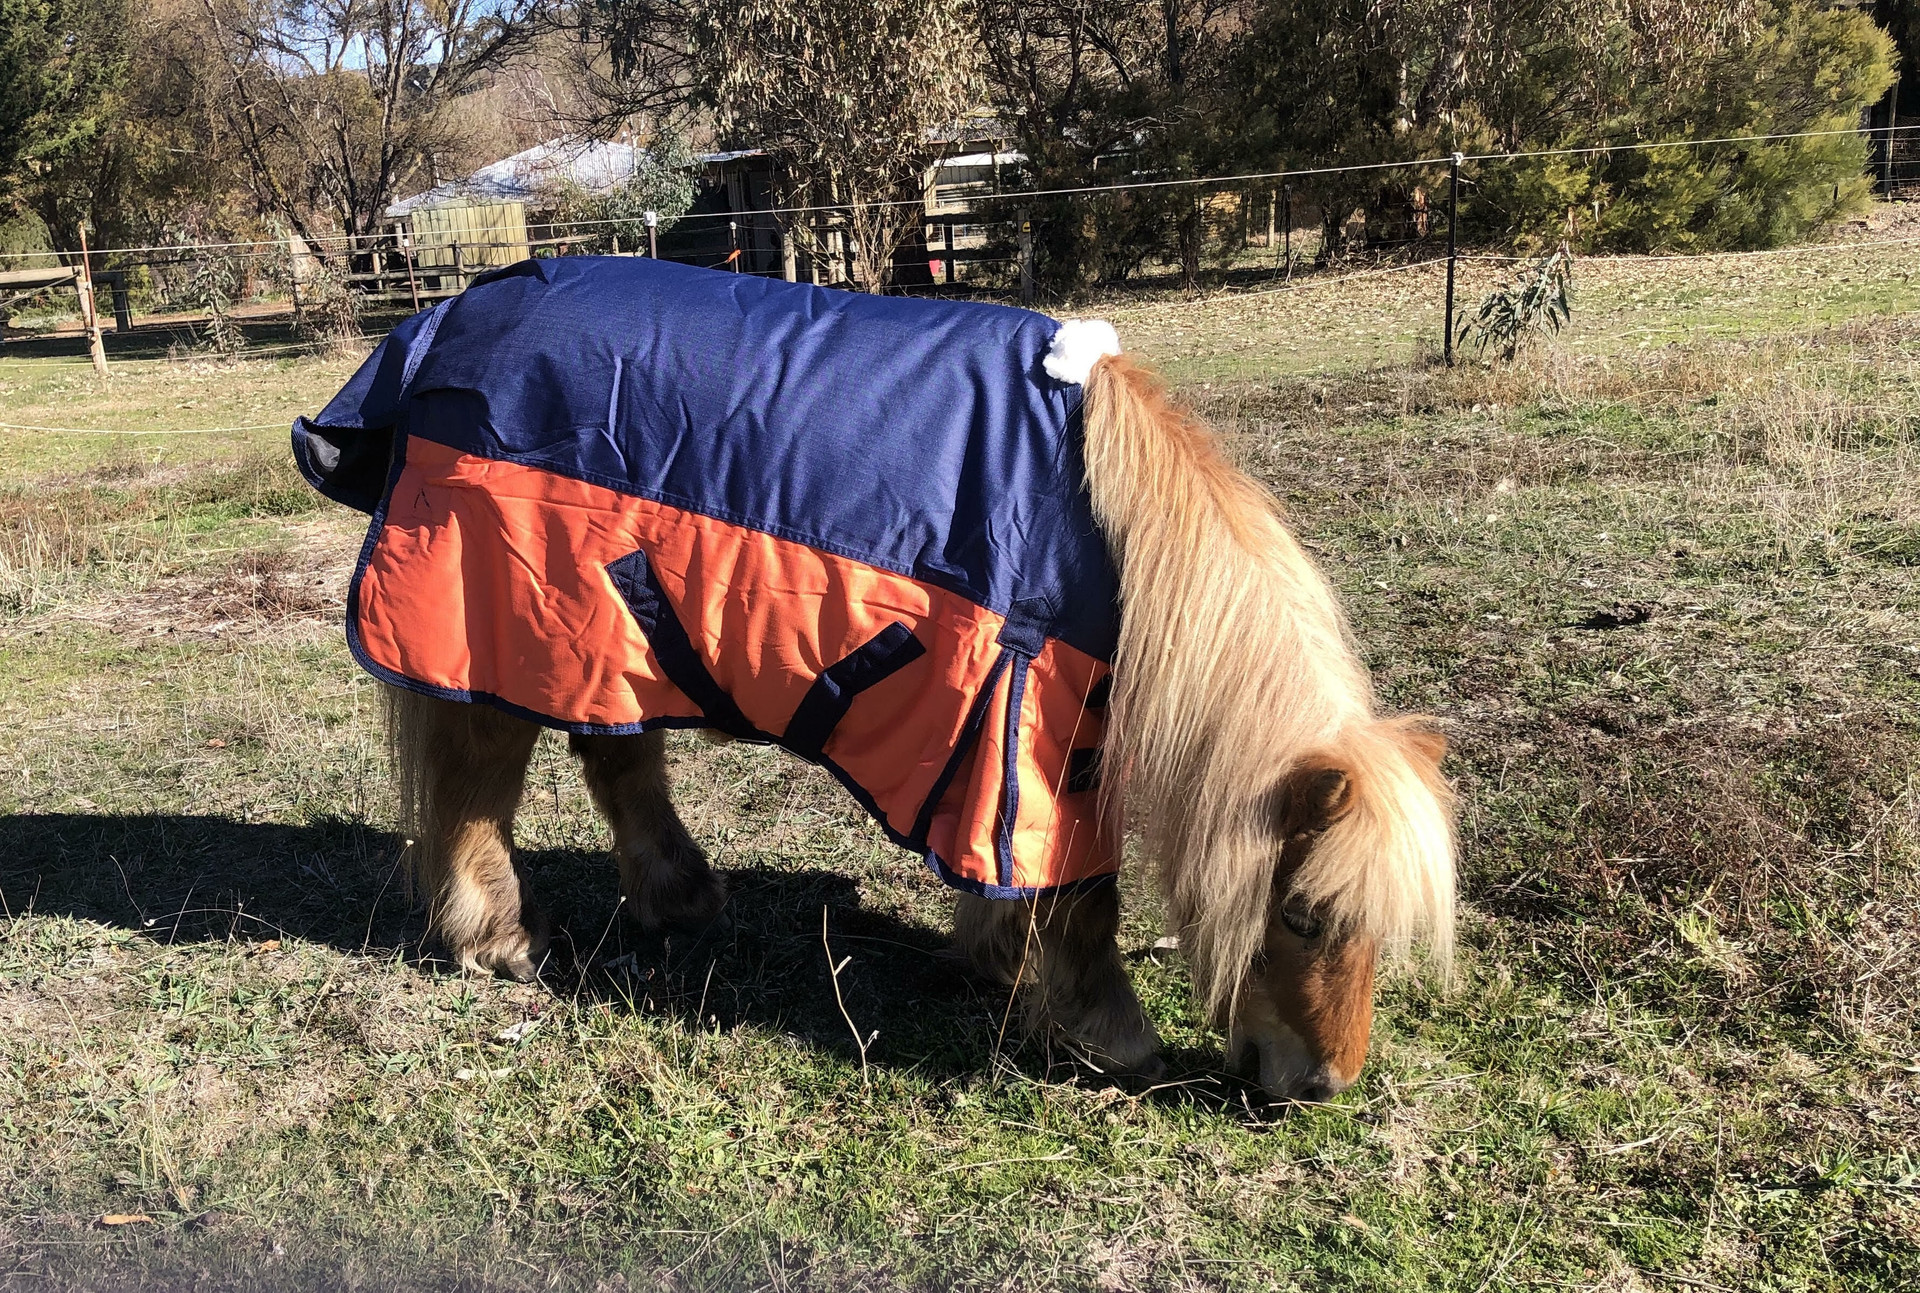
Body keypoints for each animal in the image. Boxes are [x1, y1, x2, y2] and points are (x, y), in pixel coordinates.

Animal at [297, 257, 1455, 1102]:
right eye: (1303, 916)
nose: (1323, 1086)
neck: (1108, 521)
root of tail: (455, 315)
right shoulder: (1038, 716)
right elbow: (1079, 888)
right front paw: (1110, 1030)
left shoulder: (1016, 724)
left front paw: (994, 954)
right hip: (496, 625)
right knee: (476, 785)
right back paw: (497, 937)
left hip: (610, 631)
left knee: (614, 760)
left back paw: (679, 897)